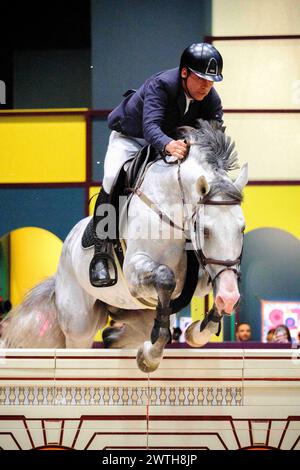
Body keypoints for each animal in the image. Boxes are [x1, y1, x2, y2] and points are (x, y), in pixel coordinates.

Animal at [1, 121, 247, 374]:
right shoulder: (135, 270)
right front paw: (151, 356)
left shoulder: (202, 278)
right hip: (79, 326)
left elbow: (219, 286)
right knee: (82, 341)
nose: (228, 297)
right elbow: (165, 277)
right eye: (205, 230)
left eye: (242, 229)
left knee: (113, 335)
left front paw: (199, 329)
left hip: (135, 312)